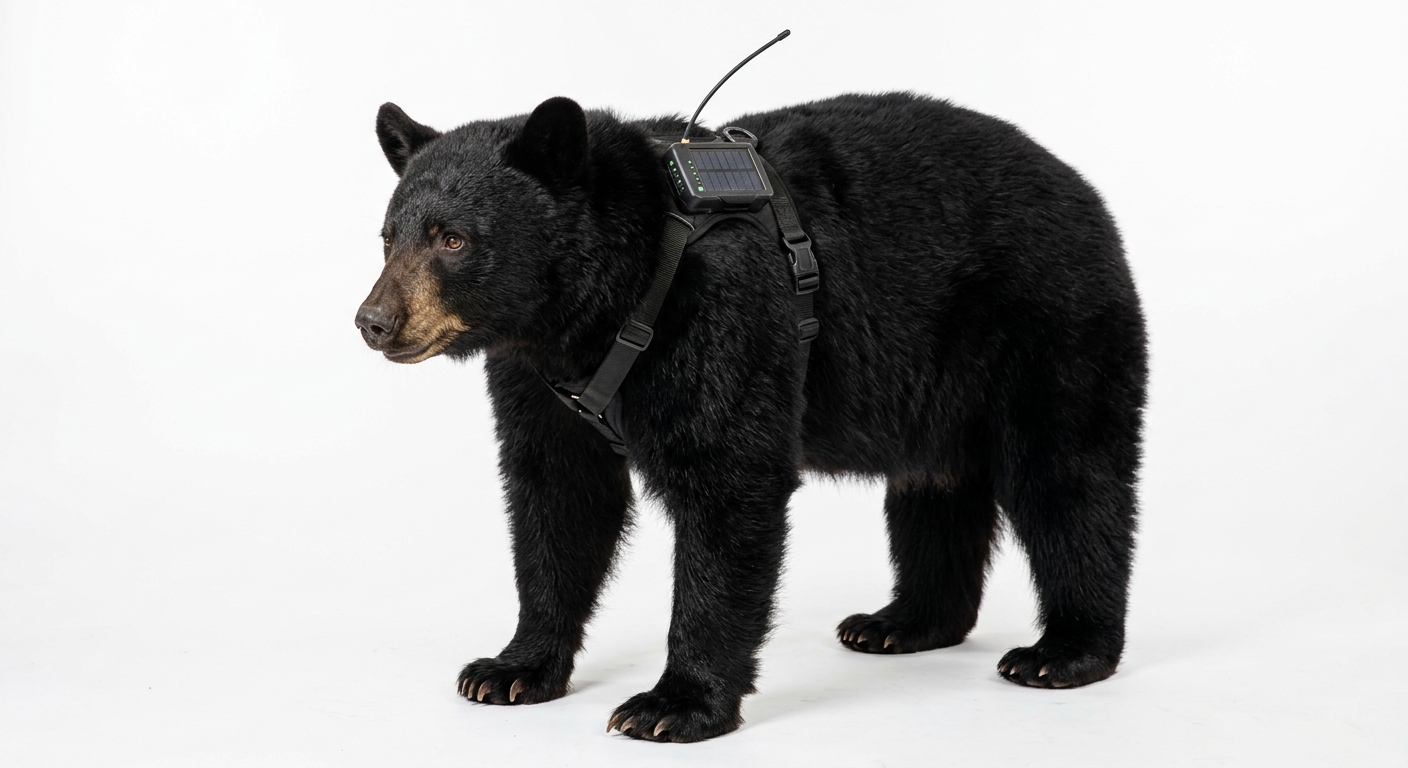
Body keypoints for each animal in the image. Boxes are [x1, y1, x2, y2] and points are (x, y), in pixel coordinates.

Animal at [355, 92, 1147, 743]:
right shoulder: (539, 377)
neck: (605, 300)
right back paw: (902, 622)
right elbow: (557, 498)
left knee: (1069, 480)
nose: (374, 321)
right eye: (389, 236)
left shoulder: (722, 316)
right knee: (933, 486)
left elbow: (727, 485)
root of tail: (1083, 188)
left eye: (453, 237)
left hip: (1046, 325)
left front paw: (674, 705)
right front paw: (512, 668)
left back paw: (1064, 652)